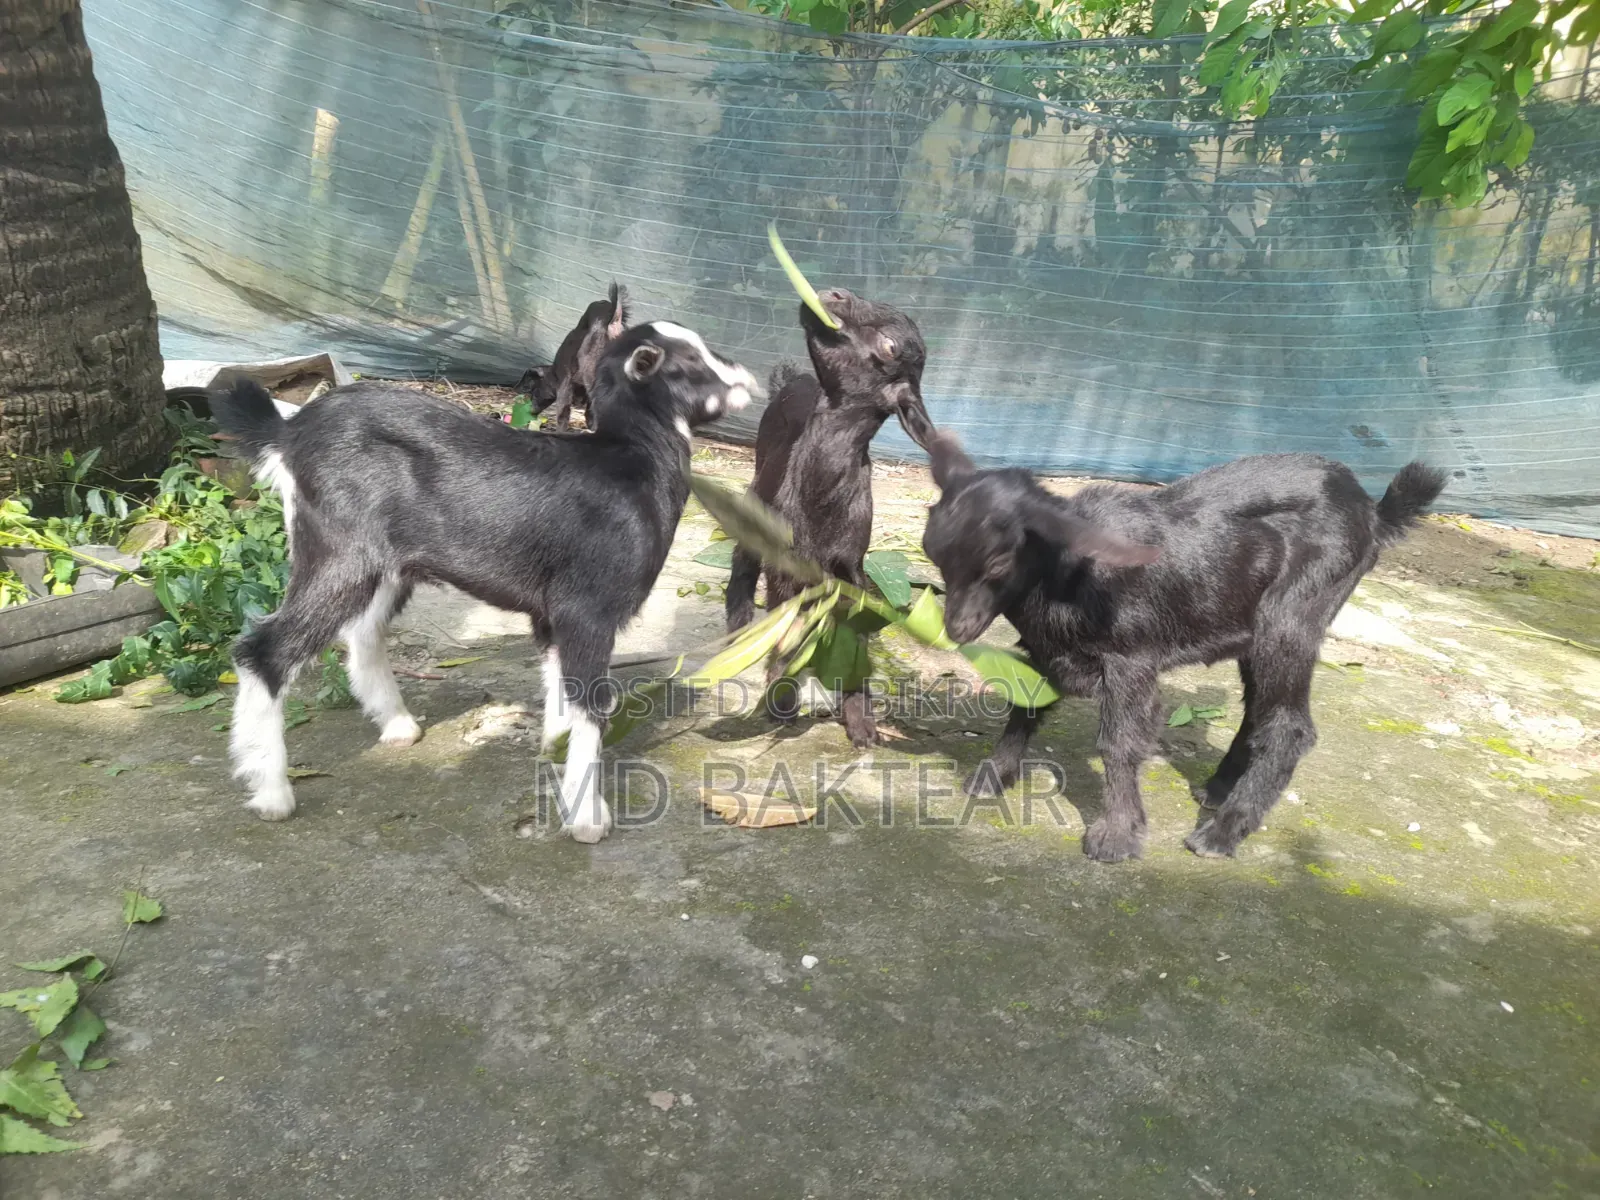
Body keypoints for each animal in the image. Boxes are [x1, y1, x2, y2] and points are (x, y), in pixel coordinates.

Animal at [212, 321, 761, 842]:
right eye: (691, 362)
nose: (750, 380)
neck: (632, 459)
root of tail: (289, 432)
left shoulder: (551, 613)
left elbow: (559, 683)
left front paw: (553, 749)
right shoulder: (589, 608)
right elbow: (590, 703)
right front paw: (586, 816)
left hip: (383, 567)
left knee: (363, 633)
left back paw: (398, 726)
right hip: (340, 555)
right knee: (262, 650)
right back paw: (271, 792)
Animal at [515, 283, 629, 430]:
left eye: (533, 391)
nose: (530, 412)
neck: (554, 374)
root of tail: (612, 321)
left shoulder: (564, 388)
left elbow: (563, 415)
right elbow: (589, 415)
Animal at [724, 288, 936, 747]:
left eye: (890, 346)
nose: (833, 294)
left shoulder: (850, 569)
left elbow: (854, 634)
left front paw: (862, 723)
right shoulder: (785, 568)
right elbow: (785, 632)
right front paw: (782, 699)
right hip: (758, 487)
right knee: (742, 558)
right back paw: (738, 627)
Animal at [920, 433, 1448, 861]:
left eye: (998, 563)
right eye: (934, 553)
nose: (957, 627)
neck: (1068, 571)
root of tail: (1371, 511)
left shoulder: (1131, 660)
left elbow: (1119, 742)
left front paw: (1117, 836)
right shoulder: (1045, 651)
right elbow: (1024, 706)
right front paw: (993, 776)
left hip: (1292, 617)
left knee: (1290, 727)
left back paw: (1222, 833)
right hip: (1252, 631)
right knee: (1259, 708)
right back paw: (1219, 789)